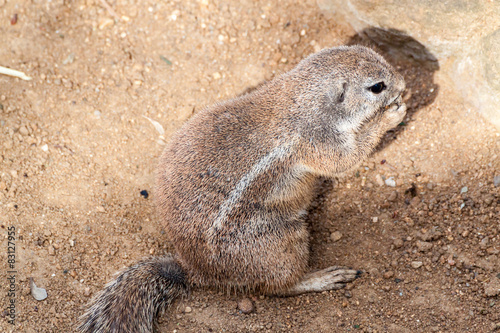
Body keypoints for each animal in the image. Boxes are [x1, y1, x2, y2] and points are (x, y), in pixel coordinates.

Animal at [78, 45, 406, 330]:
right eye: (377, 86)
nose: (403, 83)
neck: (304, 98)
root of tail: (194, 269)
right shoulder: (319, 141)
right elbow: (345, 160)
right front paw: (391, 116)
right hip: (278, 243)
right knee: (279, 286)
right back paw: (322, 277)